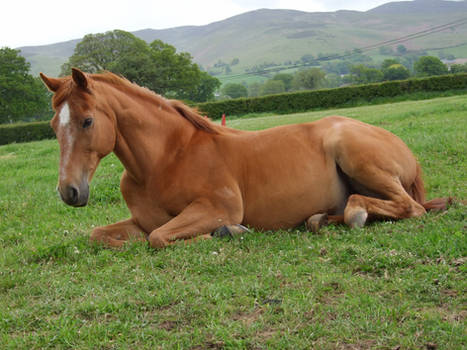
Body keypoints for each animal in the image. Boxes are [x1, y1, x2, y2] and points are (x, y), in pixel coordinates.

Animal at [41, 68, 454, 247]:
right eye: (53, 125)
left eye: (87, 120)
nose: (70, 192)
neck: (164, 160)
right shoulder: (141, 221)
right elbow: (100, 235)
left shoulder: (217, 207)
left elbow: (158, 239)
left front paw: (228, 232)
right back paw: (321, 219)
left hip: (357, 158)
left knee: (407, 208)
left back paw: (353, 215)